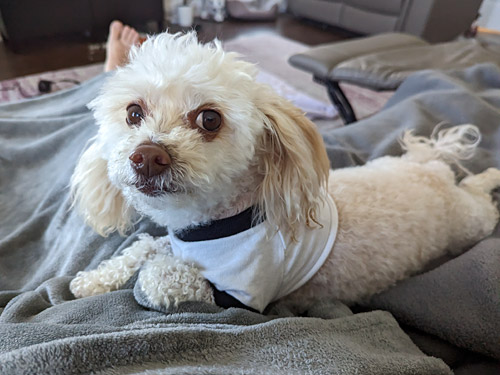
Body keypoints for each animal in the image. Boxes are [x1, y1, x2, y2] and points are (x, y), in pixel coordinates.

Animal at [69, 31, 500, 314]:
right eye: (133, 113)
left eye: (209, 119)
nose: (147, 156)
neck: (218, 221)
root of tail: (434, 172)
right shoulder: (179, 244)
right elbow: (144, 248)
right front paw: (93, 280)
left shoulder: (240, 296)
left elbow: (158, 276)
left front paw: (142, 280)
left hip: (469, 222)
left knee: (481, 198)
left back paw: (491, 176)